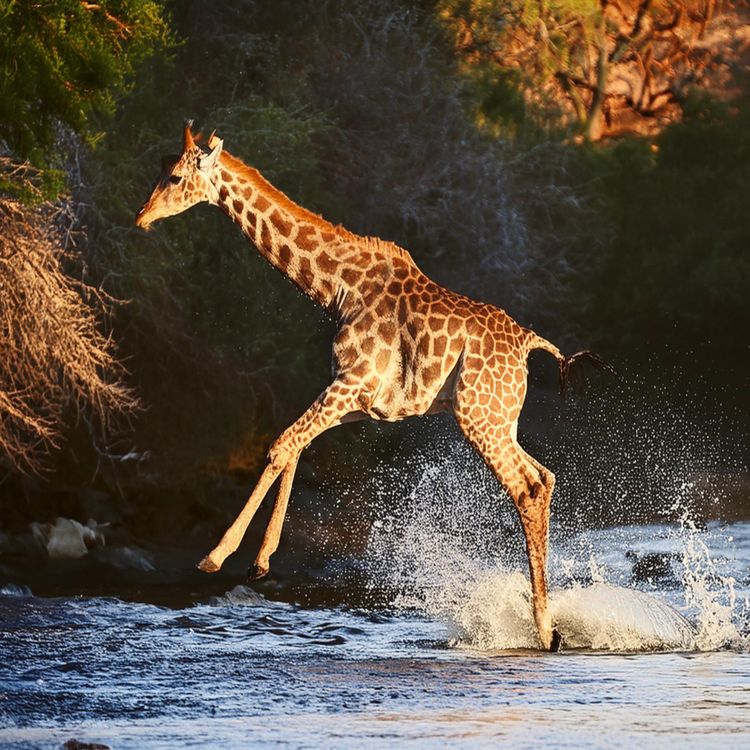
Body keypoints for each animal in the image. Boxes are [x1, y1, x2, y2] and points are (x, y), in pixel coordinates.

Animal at [136, 122, 605, 651]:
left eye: (175, 177)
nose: (141, 217)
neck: (338, 288)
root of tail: (528, 344)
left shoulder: (350, 381)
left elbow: (281, 444)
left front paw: (216, 556)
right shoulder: (356, 398)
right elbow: (293, 446)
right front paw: (260, 562)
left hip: (478, 416)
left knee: (527, 487)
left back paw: (545, 628)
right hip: (498, 418)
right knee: (545, 478)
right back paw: (548, 625)